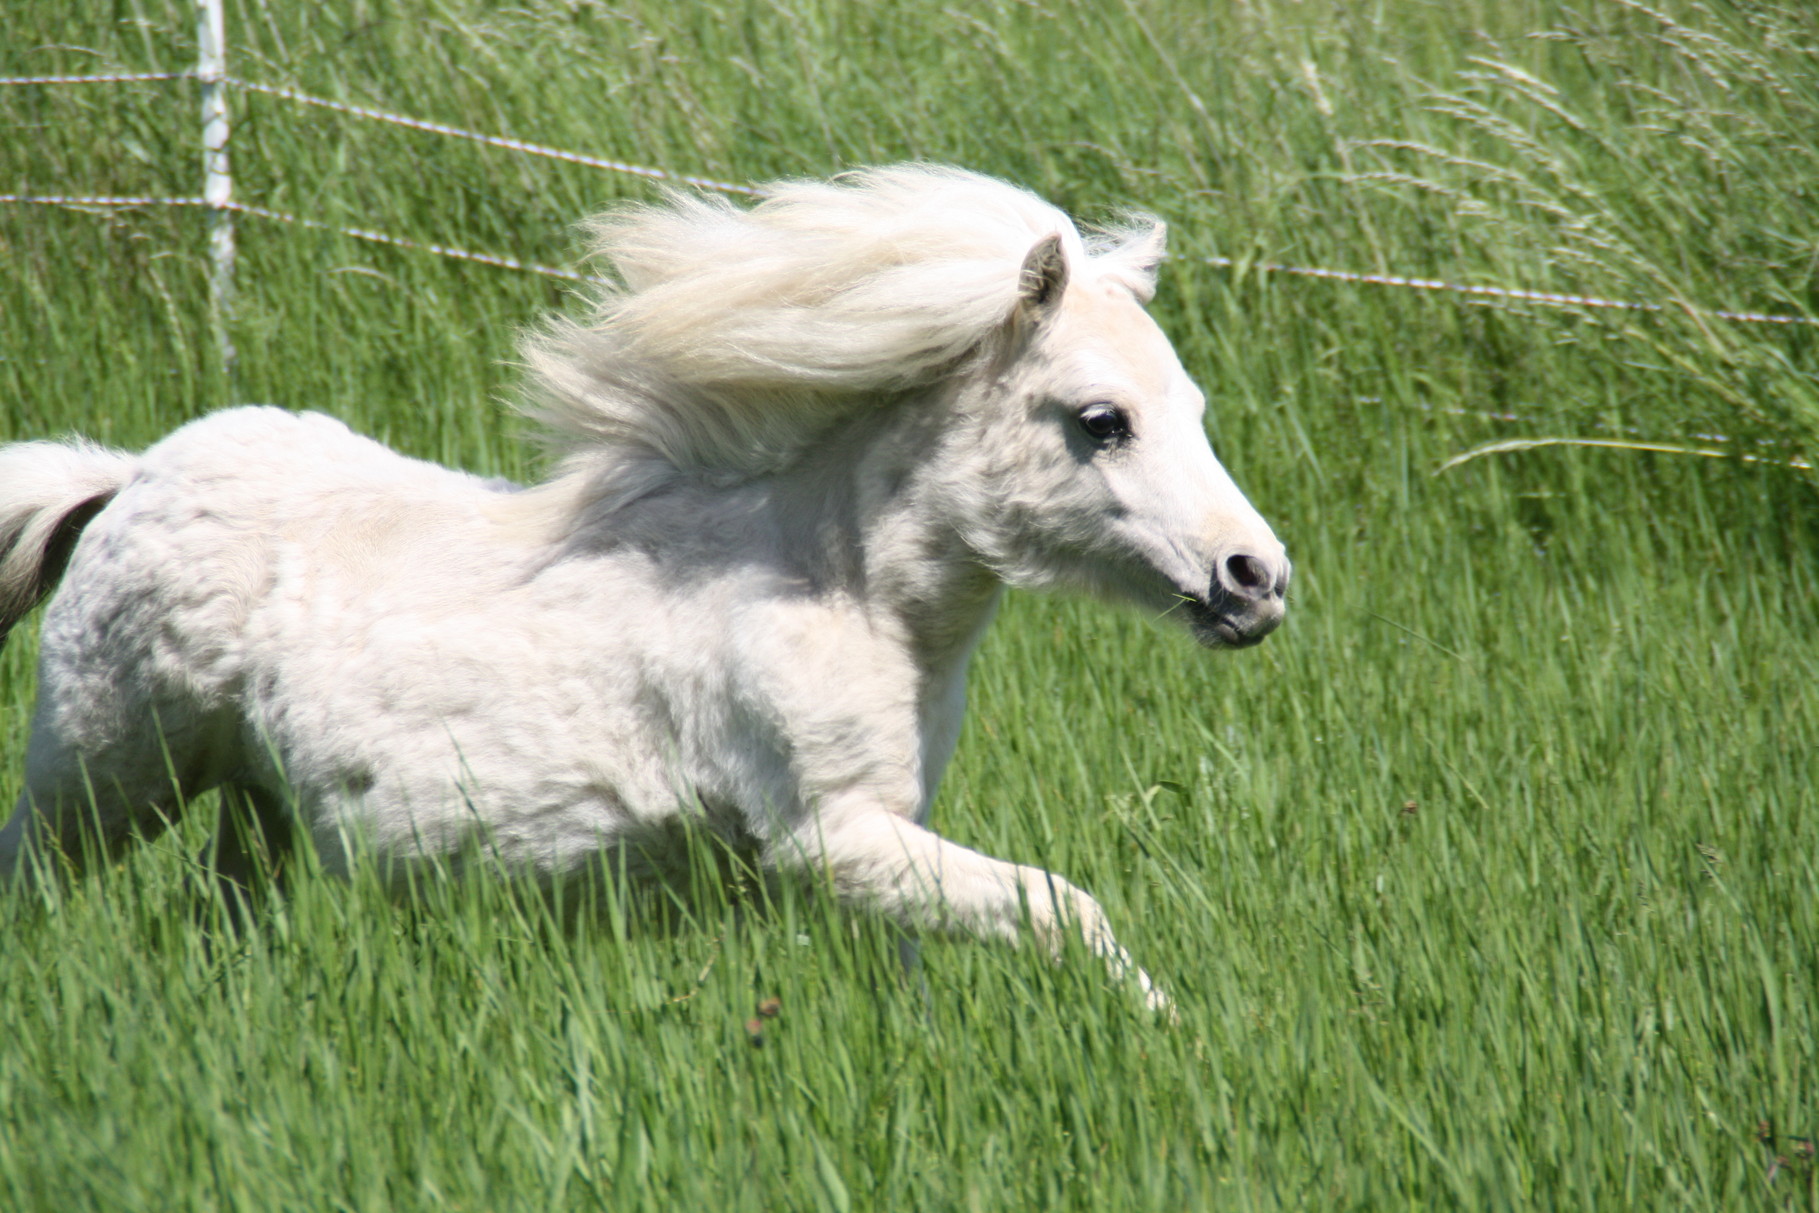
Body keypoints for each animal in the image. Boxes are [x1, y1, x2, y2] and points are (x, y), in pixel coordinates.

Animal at [0, 166, 1287, 1011]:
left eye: (1194, 408)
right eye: (1100, 420)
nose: (1257, 580)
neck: (838, 595)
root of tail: (129, 478)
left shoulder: (883, 845)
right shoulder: (832, 838)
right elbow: (1065, 908)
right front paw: (1169, 1032)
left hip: (252, 808)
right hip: (102, 778)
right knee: (32, 882)